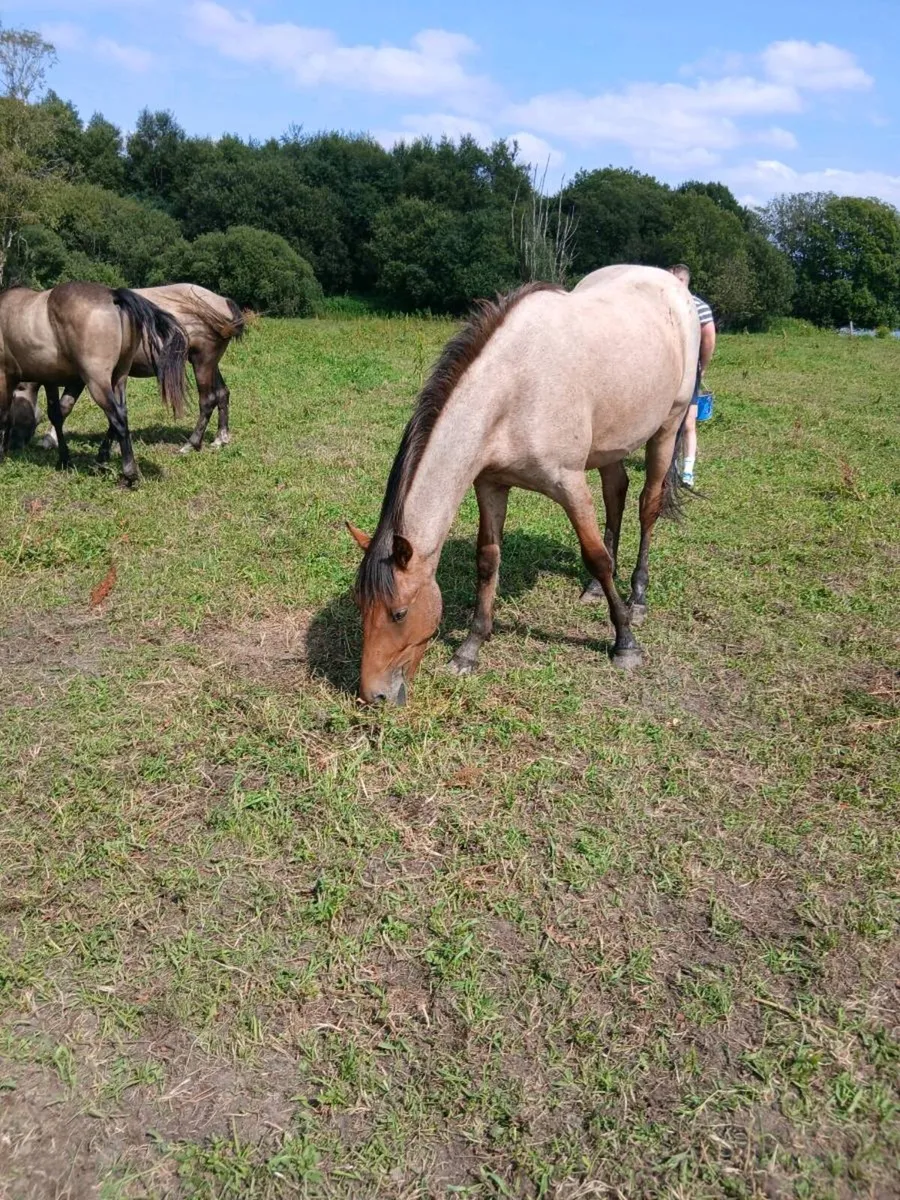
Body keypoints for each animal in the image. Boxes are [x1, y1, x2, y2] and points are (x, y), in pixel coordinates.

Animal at [0, 282, 188, 483]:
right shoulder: (57, 380)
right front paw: (64, 459)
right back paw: (103, 460)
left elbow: (5, 415)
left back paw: (129, 472)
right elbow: (57, 414)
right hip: (119, 378)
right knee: (121, 413)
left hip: (97, 381)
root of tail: (113, 295)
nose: (14, 445)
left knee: (117, 417)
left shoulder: (5, 377)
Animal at [23, 283, 245, 456]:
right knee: (222, 393)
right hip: (210, 364)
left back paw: (191, 444)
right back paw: (221, 438)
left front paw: (49, 439)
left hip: (202, 362)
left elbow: (64, 407)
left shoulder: (82, 377)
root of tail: (223, 301)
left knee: (207, 400)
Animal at [347, 264, 701, 705]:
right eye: (360, 605)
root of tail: (672, 281)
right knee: (616, 493)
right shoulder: (491, 485)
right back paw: (594, 591)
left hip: (667, 427)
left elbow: (596, 557)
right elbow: (487, 561)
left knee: (647, 506)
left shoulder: (569, 484)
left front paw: (625, 644)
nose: (372, 695)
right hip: (610, 445)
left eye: (399, 613)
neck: (515, 385)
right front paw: (469, 649)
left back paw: (636, 598)